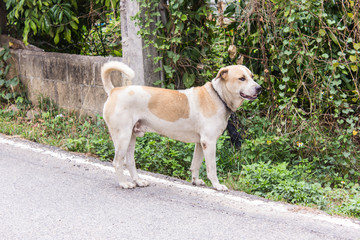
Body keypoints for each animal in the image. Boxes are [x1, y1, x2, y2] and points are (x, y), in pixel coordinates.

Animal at [101, 62, 262, 191]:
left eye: (252, 76)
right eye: (242, 78)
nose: (259, 88)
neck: (218, 96)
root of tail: (114, 90)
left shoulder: (200, 143)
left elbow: (195, 164)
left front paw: (195, 181)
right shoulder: (209, 143)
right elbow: (212, 169)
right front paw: (217, 185)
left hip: (131, 137)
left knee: (129, 161)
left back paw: (138, 181)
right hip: (122, 137)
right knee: (117, 162)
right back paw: (124, 183)